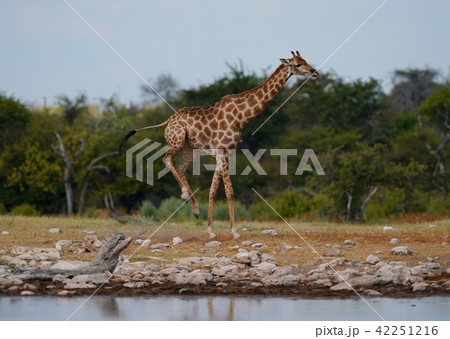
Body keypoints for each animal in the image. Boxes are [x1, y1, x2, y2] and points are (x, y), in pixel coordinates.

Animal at [118, 51, 318, 240]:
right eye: (298, 64)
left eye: (306, 60)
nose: (314, 72)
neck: (242, 117)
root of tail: (168, 121)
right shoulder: (222, 152)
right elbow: (229, 191)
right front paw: (234, 232)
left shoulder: (225, 154)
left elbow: (213, 191)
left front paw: (210, 231)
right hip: (177, 141)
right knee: (166, 159)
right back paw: (185, 195)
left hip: (191, 149)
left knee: (181, 167)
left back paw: (195, 209)